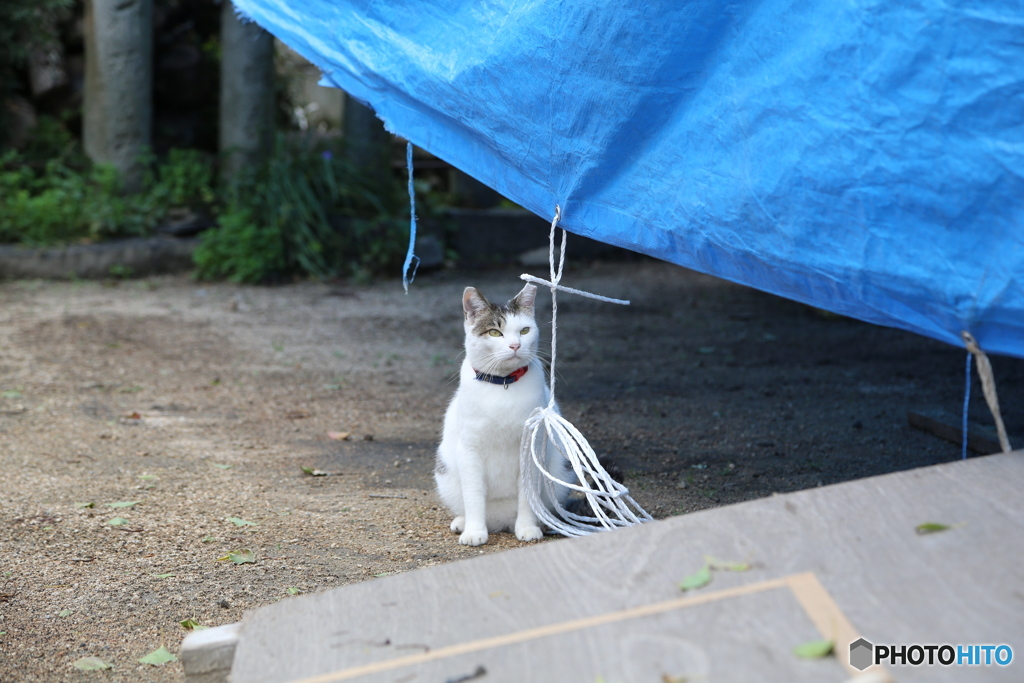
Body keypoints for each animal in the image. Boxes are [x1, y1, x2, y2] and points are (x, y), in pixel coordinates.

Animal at [434, 282, 577, 544]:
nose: (515, 345)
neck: (503, 383)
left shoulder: (531, 445)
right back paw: (464, 522)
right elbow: (473, 494)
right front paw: (474, 531)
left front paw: (528, 527)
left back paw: (542, 523)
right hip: (445, 471)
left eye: (524, 330)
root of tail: (501, 521)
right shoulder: (469, 448)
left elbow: (527, 495)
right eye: (494, 333)